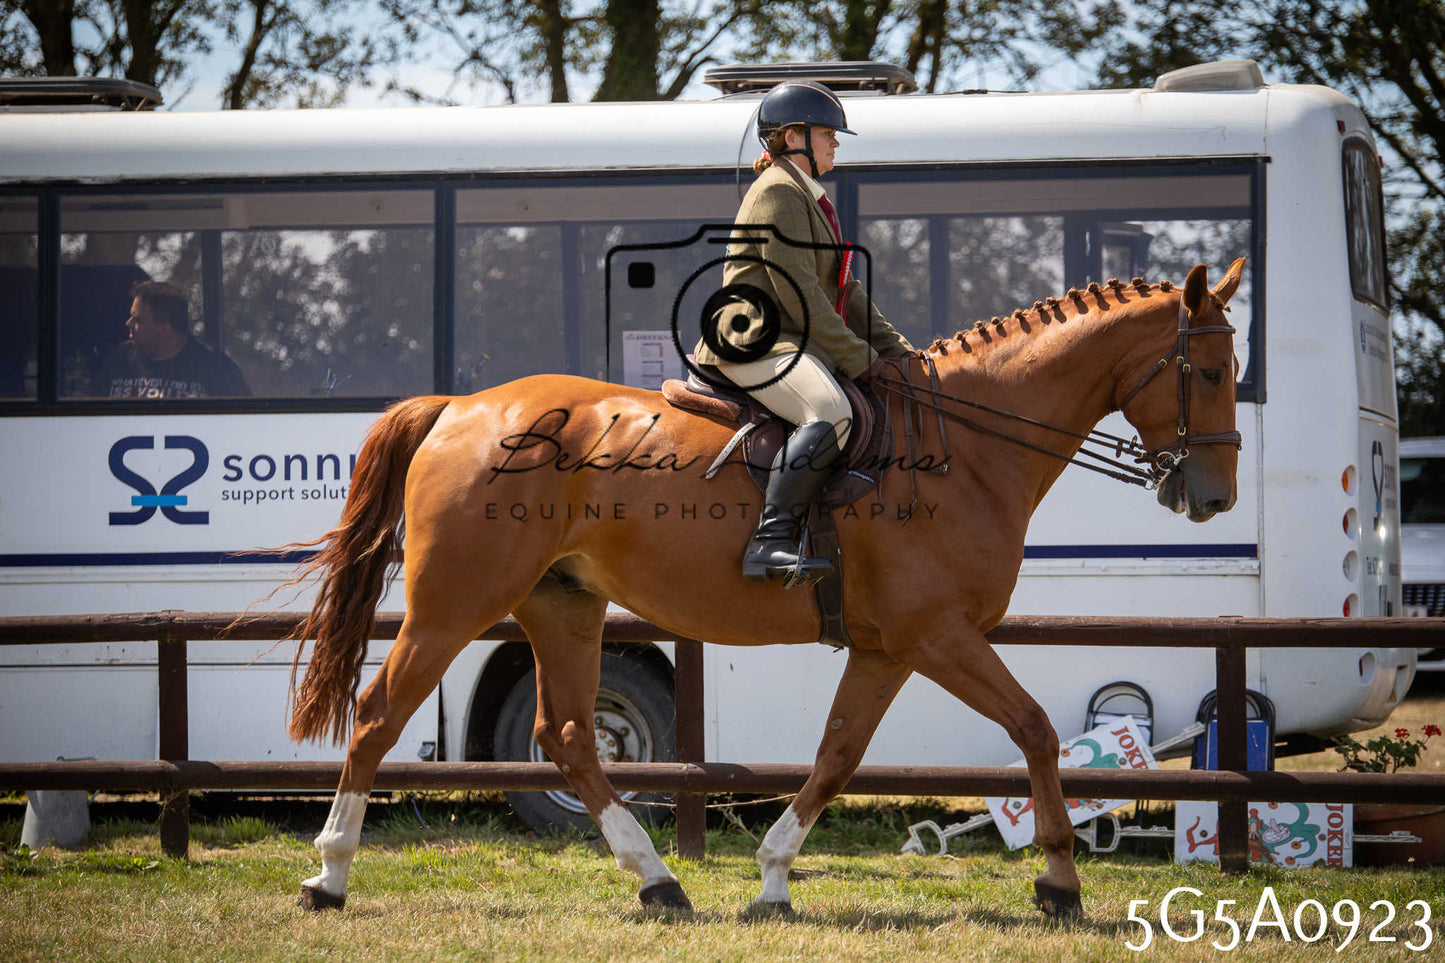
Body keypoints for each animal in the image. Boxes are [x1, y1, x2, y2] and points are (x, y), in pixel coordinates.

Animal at [283, 259, 1246, 919]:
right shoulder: (938, 634)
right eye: (1207, 373)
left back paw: (658, 880)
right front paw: (1058, 880)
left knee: (568, 736)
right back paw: (328, 874)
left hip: (563, 603)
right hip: (454, 606)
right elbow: (1037, 729)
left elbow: (838, 753)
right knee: (379, 714)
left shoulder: (889, 646)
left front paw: (774, 878)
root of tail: (461, 407)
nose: (1212, 497)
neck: (967, 447)